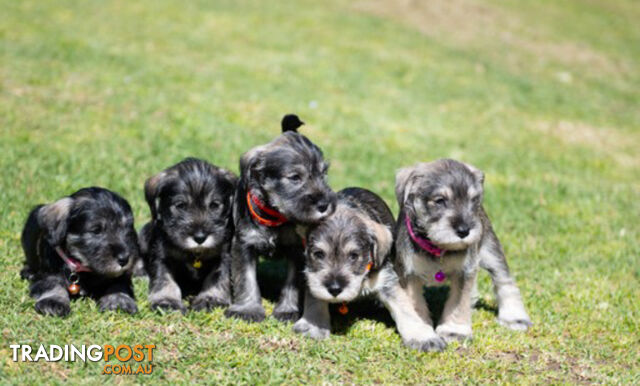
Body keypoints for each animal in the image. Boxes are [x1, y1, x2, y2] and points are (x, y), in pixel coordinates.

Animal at [20, 187, 139, 316]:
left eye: (127, 230)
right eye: (96, 230)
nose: (124, 259)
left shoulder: (121, 275)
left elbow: (119, 284)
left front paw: (119, 301)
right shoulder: (47, 273)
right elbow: (52, 284)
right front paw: (54, 301)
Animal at [140, 158, 238, 312]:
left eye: (214, 205)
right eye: (181, 205)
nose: (200, 238)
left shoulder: (224, 256)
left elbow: (218, 278)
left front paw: (211, 298)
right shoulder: (162, 256)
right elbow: (165, 279)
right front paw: (166, 301)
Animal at [224, 114, 338, 322]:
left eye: (323, 174)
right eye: (295, 178)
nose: (324, 205)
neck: (276, 215)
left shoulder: (297, 250)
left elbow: (292, 283)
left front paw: (287, 310)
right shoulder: (244, 244)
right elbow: (246, 279)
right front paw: (247, 310)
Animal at [294, 188, 448, 352]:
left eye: (354, 256)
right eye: (318, 254)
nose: (334, 289)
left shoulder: (387, 282)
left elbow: (405, 309)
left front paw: (423, 338)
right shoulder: (311, 277)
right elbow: (315, 299)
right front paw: (313, 325)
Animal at [392, 158, 532, 346]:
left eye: (473, 200)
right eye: (440, 200)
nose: (464, 231)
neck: (438, 246)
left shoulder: (464, 271)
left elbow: (459, 302)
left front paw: (454, 331)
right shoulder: (408, 273)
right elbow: (414, 305)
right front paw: (422, 333)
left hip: (491, 251)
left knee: (505, 281)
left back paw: (514, 317)